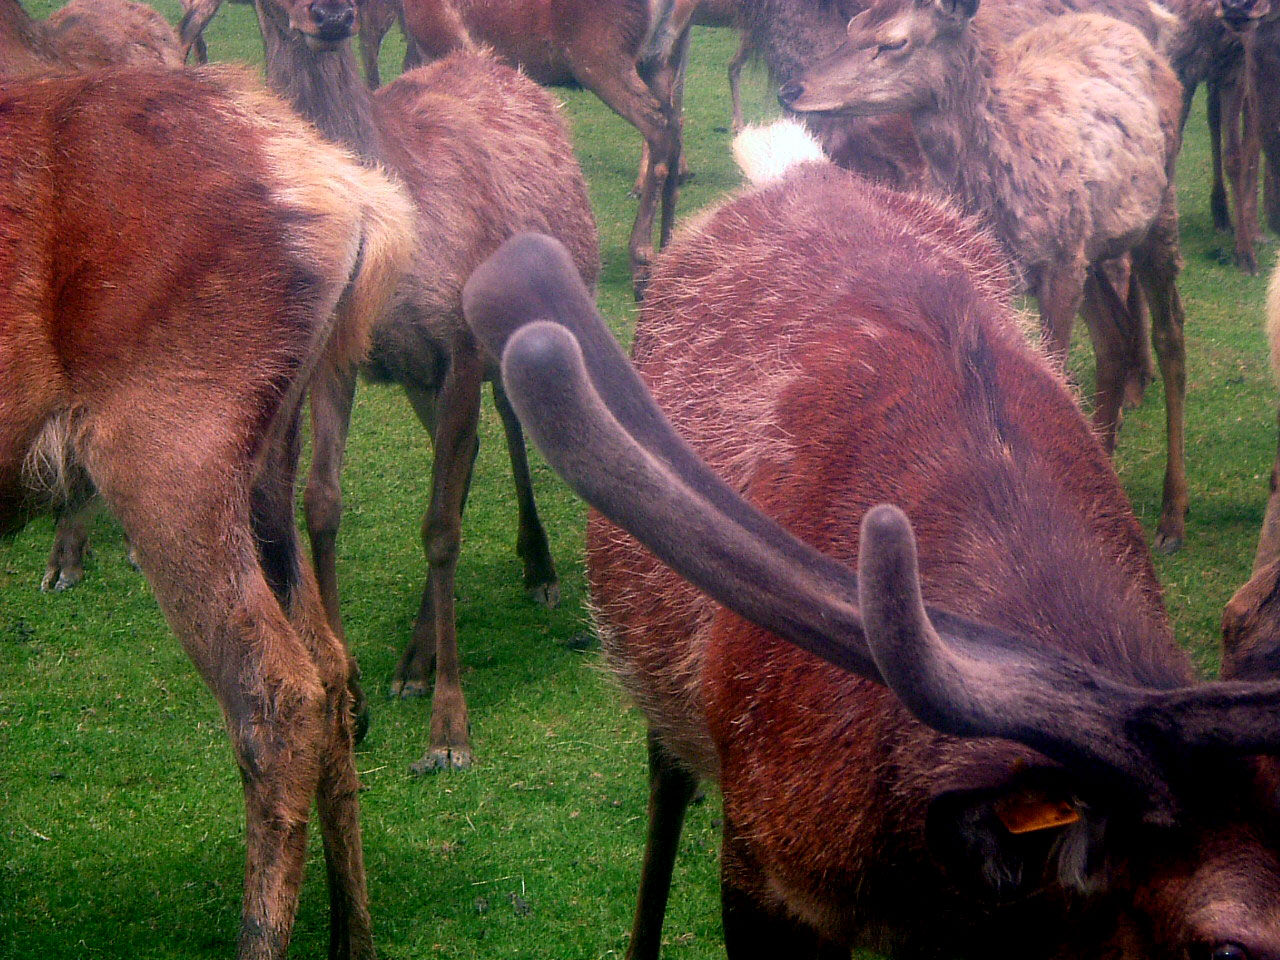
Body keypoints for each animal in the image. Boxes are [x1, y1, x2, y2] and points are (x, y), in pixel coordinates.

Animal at [1, 64, 414, 960]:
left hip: (167, 445)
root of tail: (352, 194)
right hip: (262, 468)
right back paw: (353, 938)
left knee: (278, 692)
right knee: (332, 665)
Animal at [248, 0, 599, 773]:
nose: (330, 14)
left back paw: (538, 568)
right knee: (461, 461)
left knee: (505, 432)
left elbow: (440, 529)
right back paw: (413, 657)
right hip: (419, 379)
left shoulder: (462, 344)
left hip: (525, 322)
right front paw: (352, 703)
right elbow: (322, 504)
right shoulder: (339, 355)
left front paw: (450, 729)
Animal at [783, 1, 1192, 555]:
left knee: (1170, 335)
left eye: (893, 42)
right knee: (1115, 337)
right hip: (1091, 242)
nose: (792, 88)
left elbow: (1057, 370)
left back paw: (1173, 516)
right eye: (853, 25)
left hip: (1157, 210)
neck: (995, 188)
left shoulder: (1060, 263)